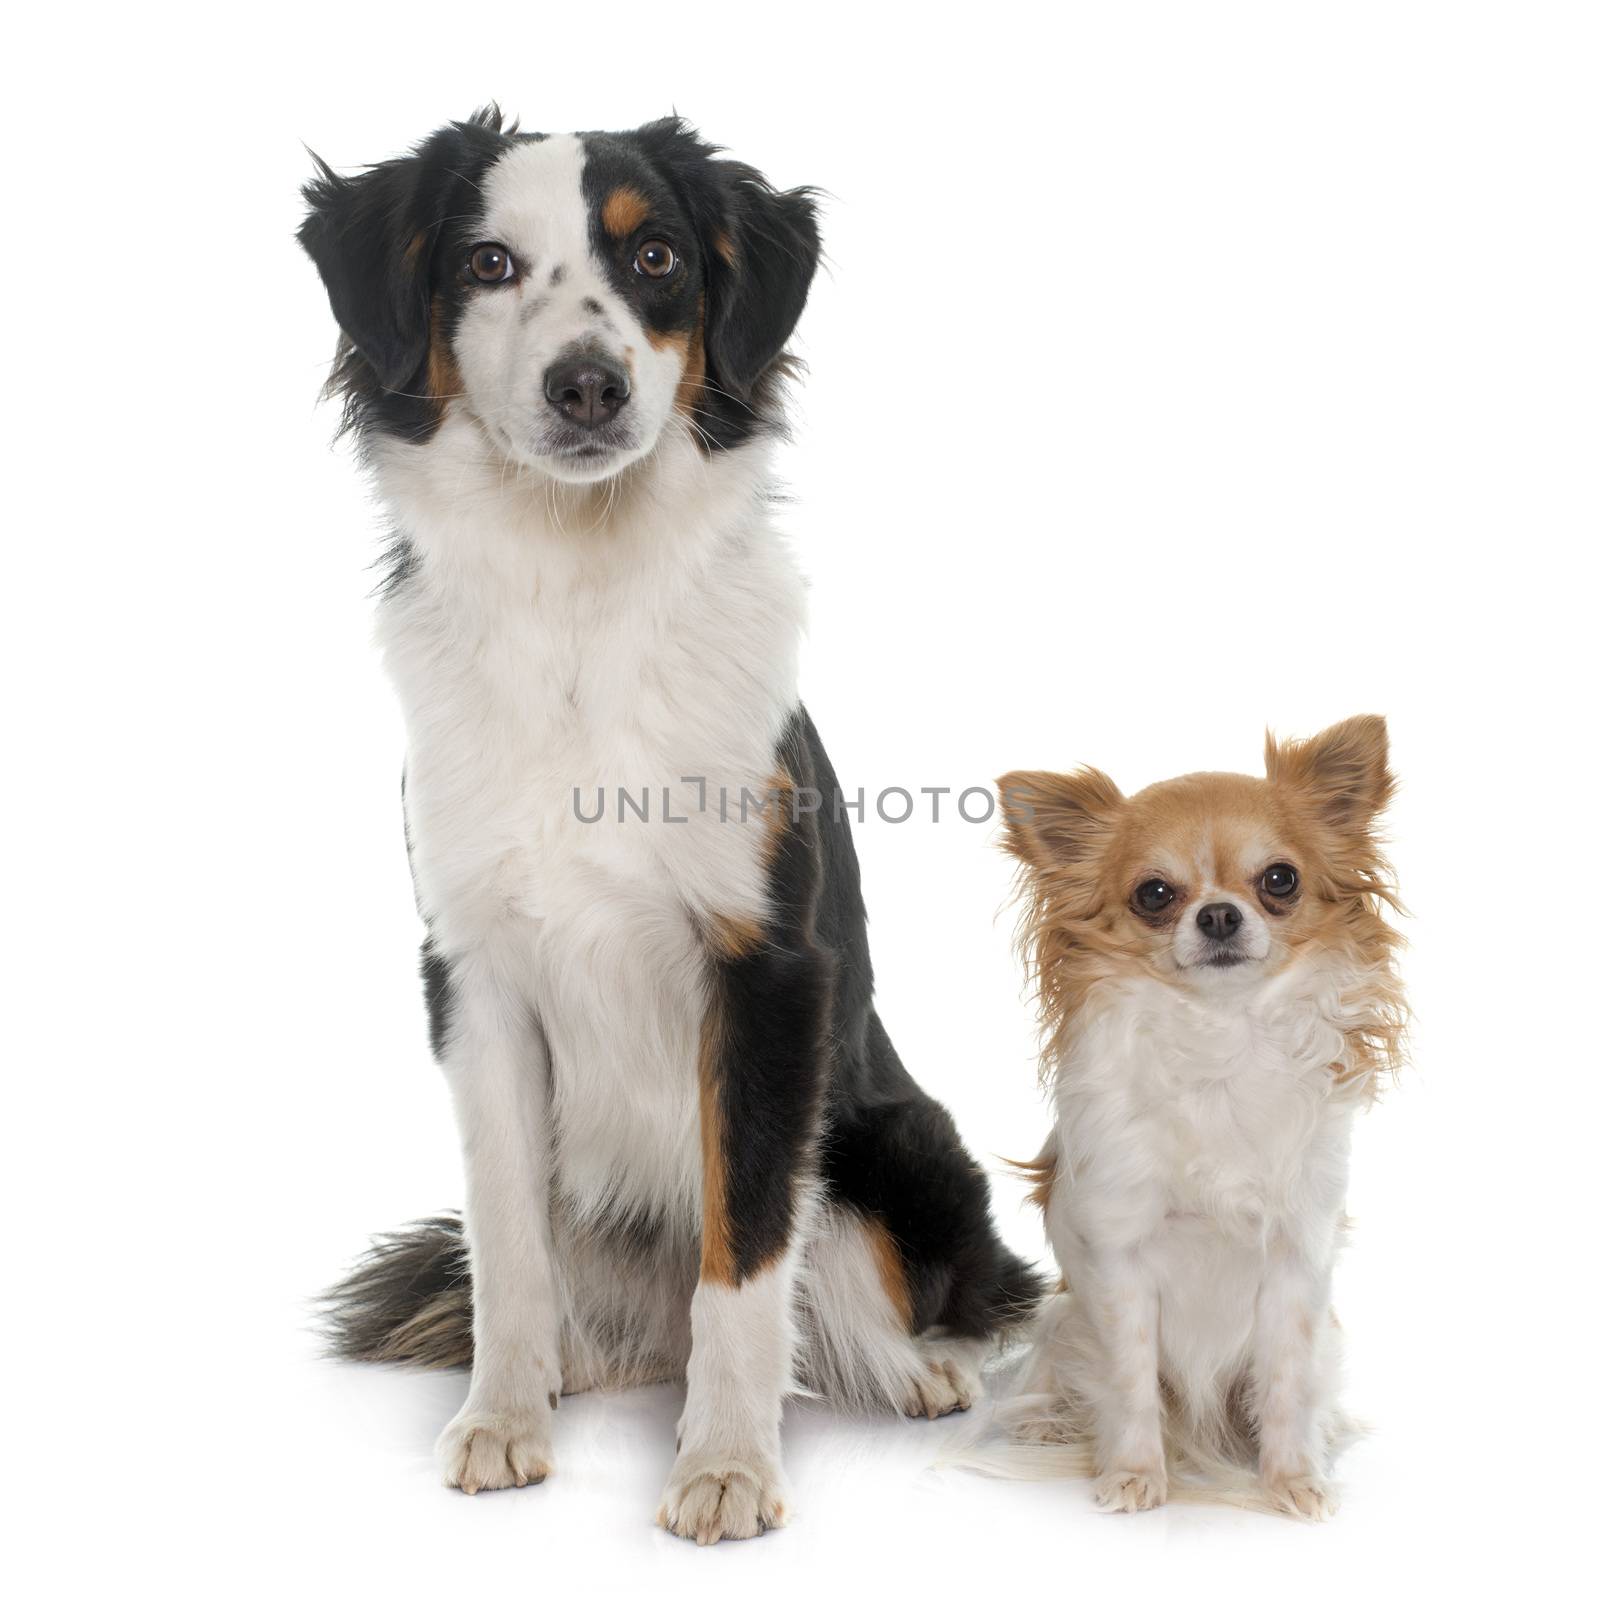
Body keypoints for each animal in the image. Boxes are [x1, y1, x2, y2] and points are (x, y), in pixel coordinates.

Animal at [300, 109, 1043, 1536]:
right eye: (485, 263)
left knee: (869, 1282)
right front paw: (503, 1417)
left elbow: (747, 1251)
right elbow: (507, 1242)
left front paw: (728, 1465)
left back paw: (913, 1370)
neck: (576, 601)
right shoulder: (474, 975)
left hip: (895, 1140)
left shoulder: (766, 970)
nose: (587, 385)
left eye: (653, 257)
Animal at [992, 720, 1408, 1516]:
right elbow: (1129, 1383)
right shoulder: (1120, 1263)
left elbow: (1286, 1384)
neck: (1221, 1041)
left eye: (1280, 880)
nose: (1217, 913)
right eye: (1154, 894)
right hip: (1063, 1320)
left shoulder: (1297, 1261)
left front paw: (1292, 1479)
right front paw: (1134, 1474)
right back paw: (1050, 1423)